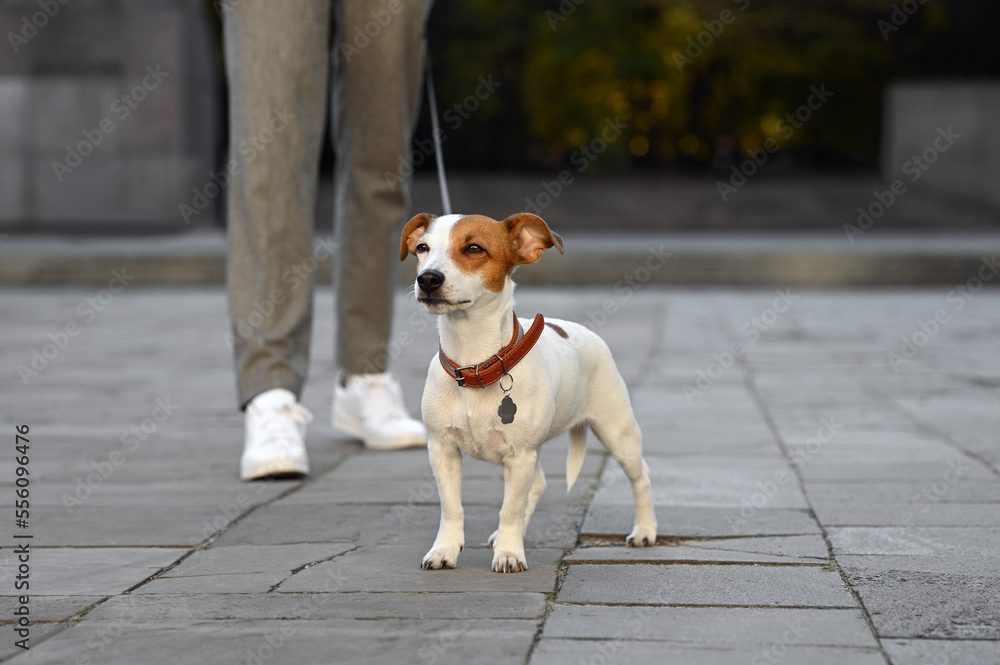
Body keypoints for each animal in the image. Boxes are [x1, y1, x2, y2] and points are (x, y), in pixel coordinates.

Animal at [398, 213, 656, 572]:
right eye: (422, 248)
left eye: (474, 248)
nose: (427, 279)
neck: (474, 362)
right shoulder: (442, 450)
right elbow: (452, 508)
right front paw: (444, 550)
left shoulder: (519, 457)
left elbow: (509, 508)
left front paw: (509, 553)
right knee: (538, 486)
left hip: (618, 432)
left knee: (640, 477)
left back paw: (645, 531)